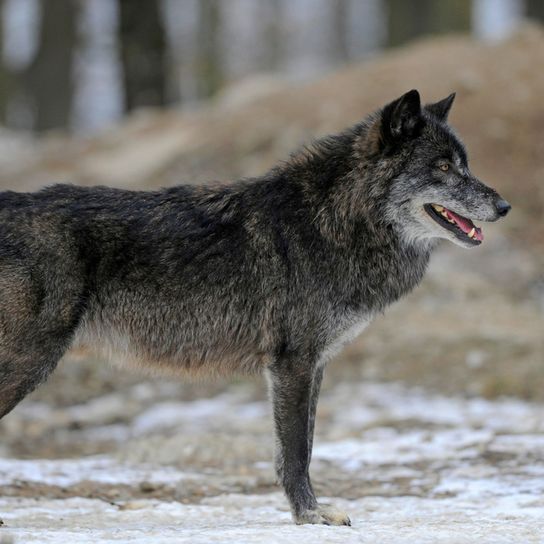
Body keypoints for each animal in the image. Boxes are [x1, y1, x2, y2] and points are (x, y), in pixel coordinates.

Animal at [0, 89, 510, 524]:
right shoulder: (293, 363)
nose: (504, 206)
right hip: (28, 364)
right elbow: (296, 451)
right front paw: (310, 516)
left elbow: (303, 445)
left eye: (465, 164)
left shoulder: (313, 365)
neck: (334, 221)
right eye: (442, 167)